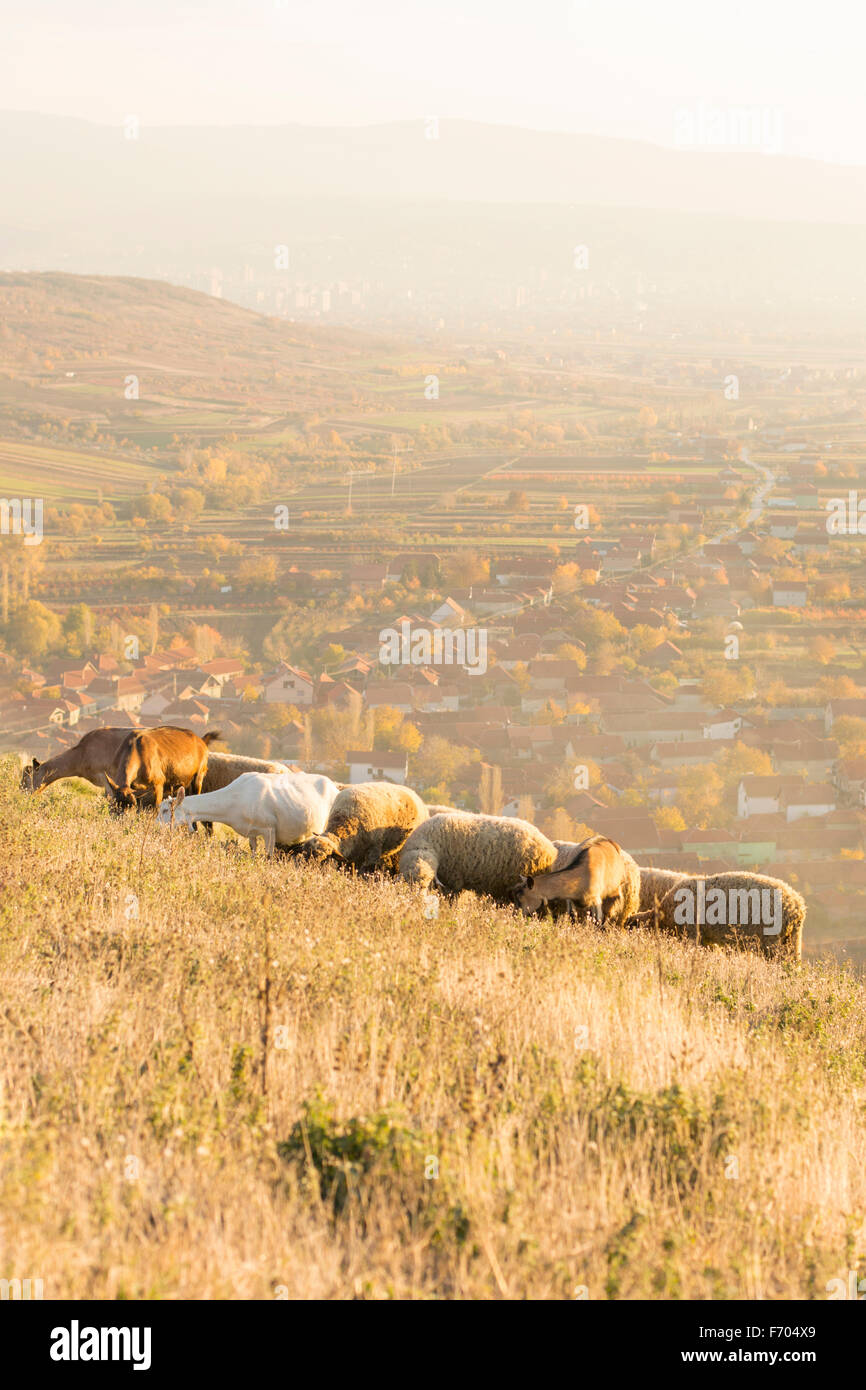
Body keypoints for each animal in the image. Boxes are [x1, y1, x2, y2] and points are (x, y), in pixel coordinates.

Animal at [297, 783, 430, 867]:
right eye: (305, 850)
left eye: (322, 856)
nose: (304, 868)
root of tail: (414, 794)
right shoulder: (353, 854)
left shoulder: (373, 851)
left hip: (398, 852)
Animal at [514, 828, 644, 928]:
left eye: (521, 897)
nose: (515, 916)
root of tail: (610, 841)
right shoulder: (570, 898)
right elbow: (572, 916)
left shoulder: (596, 899)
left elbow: (597, 920)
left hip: (613, 892)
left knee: (607, 914)